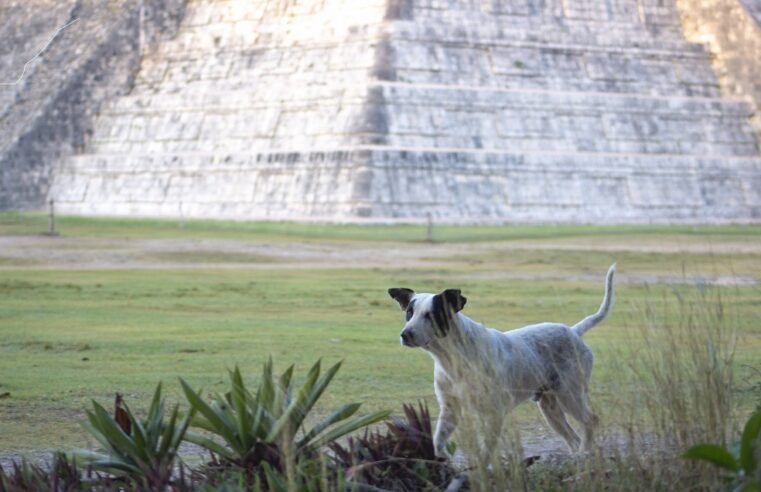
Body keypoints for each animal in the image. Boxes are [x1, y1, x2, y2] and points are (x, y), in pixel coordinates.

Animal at [388, 266, 616, 458]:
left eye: (432, 315)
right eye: (409, 313)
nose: (405, 335)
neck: (453, 358)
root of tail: (574, 331)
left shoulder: (494, 413)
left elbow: (486, 453)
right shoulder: (450, 410)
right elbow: (438, 441)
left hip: (570, 396)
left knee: (591, 421)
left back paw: (586, 453)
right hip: (550, 408)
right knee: (573, 437)